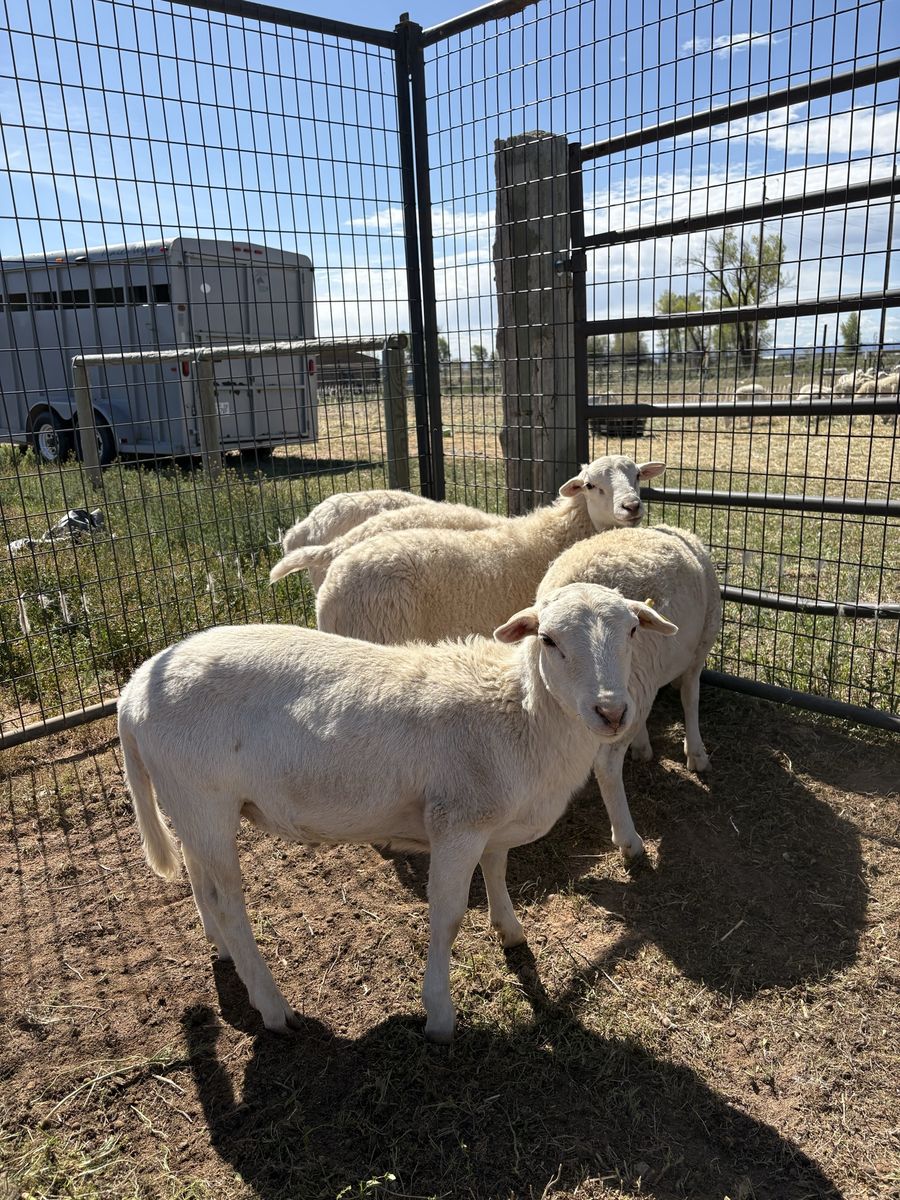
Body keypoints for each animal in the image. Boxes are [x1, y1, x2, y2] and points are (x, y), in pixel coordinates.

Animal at [117, 583, 677, 1041]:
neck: (521, 712)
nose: (612, 712)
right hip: (204, 797)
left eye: (631, 630)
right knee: (229, 903)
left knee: (199, 879)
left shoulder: (490, 818)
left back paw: (221, 949)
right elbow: (447, 916)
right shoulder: (456, 820)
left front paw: (510, 931)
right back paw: (273, 1006)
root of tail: (134, 687)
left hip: (190, 804)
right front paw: (439, 1015)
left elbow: (498, 871)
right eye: (549, 640)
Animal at [536, 525, 721, 864]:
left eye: (634, 629)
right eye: (548, 639)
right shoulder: (698, 648)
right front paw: (696, 752)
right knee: (607, 765)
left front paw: (643, 744)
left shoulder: (633, 690)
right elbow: (691, 698)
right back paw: (628, 840)